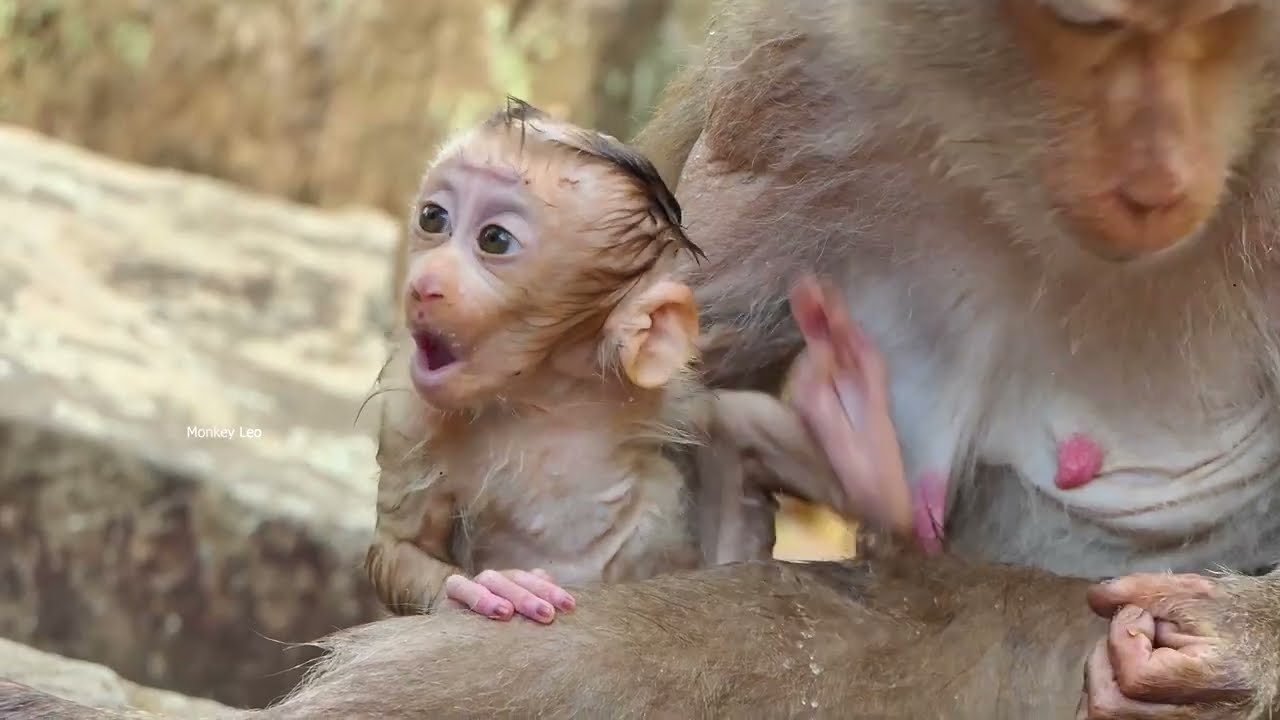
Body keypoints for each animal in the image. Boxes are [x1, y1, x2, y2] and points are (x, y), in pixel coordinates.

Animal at [362, 98, 912, 625]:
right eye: (433, 218)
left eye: (494, 239)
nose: (424, 284)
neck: (545, 399)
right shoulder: (410, 419)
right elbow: (401, 544)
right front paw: (485, 588)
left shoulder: (678, 403)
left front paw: (852, 417)